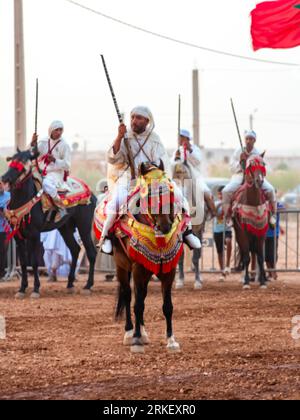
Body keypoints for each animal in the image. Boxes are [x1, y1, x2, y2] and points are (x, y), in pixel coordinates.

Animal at [1, 149, 96, 296]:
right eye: (12, 161)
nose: (5, 178)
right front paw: (22, 289)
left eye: (24, 166)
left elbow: (34, 262)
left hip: (84, 227)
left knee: (91, 252)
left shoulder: (34, 234)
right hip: (65, 228)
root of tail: (91, 194)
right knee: (75, 249)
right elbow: (23, 262)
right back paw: (70, 283)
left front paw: (35, 289)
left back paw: (88, 285)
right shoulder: (18, 235)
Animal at [95, 162, 185, 352]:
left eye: (170, 192)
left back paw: (142, 331)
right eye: (149, 194)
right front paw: (135, 339)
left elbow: (167, 306)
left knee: (140, 295)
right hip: (122, 266)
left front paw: (171, 340)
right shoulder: (137, 268)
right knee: (128, 295)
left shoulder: (169, 270)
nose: (165, 226)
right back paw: (131, 332)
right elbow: (137, 305)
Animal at [231, 156, 268, 290]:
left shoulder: (261, 233)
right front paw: (246, 282)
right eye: (251, 165)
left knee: (255, 253)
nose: (259, 180)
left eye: (263, 164)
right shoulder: (242, 233)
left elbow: (261, 258)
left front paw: (262, 282)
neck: (253, 203)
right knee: (246, 254)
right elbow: (246, 257)